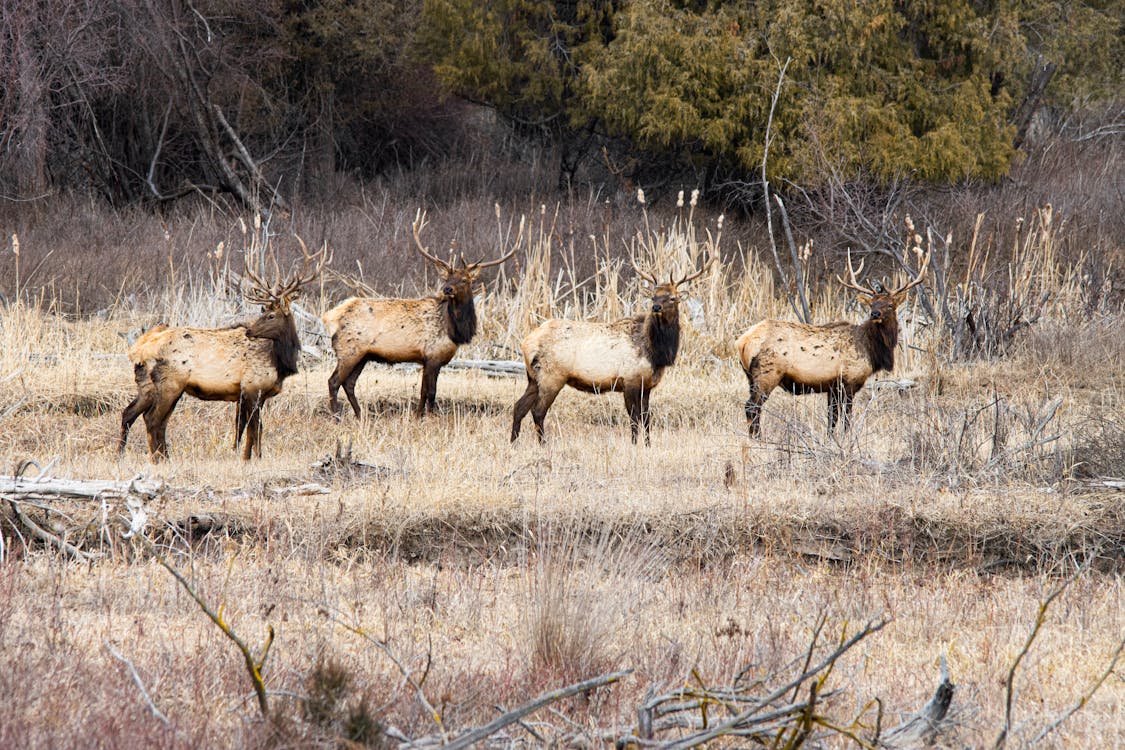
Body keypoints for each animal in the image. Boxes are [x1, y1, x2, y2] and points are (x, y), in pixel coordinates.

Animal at [118, 241, 328, 463]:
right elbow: (254, 428)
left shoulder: (249, 395)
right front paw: (253, 458)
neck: (279, 362)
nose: (249, 331)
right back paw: (158, 458)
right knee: (152, 419)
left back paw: (131, 455)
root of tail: (138, 350)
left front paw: (247, 457)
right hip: (171, 383)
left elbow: (245, 429)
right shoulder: (252, 387)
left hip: (148, 386)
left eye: (271, 315)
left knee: (131, 414)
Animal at [326, 211, 515, 420]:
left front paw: (417, 416)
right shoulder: (432, 356)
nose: (447, 289)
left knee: (348, 383)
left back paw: (360, 416)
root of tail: (331, 316)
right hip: (349, 350)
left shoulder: (431, 360)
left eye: (465, 280)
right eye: (447, 277)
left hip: (363, 355)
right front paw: (430, 418)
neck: (453, 330)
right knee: (333, 381)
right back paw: (337, 417)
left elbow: (423, 391)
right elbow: (431, 392)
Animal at [513, 258, 706, 445]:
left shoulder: (646, 385)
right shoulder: (629, 380)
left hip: (533, 378)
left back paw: (514, 443)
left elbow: (646, 418)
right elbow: (634, 418)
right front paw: (634, 444)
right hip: (552, 376)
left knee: (519, 406)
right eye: (653, 297)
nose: (656, 307)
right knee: (538, 411)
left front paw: (648, 445)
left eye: (673, 298)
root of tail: (526, 343)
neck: (655, 353)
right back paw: (543, 444)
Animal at [733, 249, 927, 436]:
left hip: (750, 377)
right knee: (751, 407)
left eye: (890, 305)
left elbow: (831, 419)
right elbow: (846, 417)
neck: (871, 349)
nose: (875, 314)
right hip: (767, 374)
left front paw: (830, 438)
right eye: (872, 304)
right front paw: (847, 438)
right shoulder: (849, 381)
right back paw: (758, 438)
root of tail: (742, 342)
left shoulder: (832, 388)